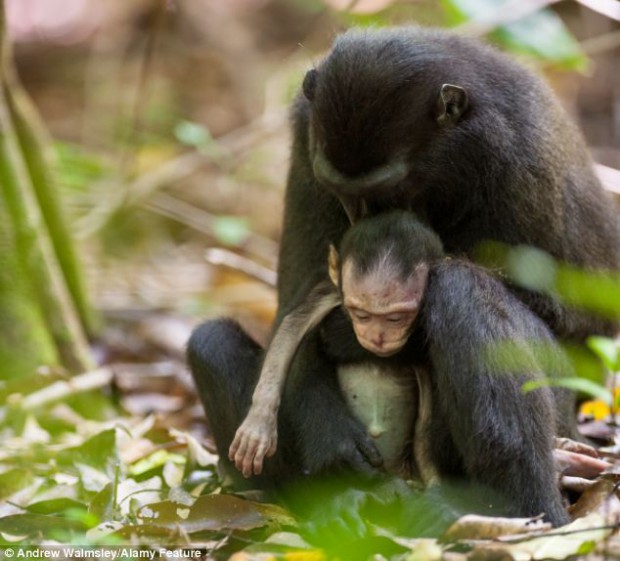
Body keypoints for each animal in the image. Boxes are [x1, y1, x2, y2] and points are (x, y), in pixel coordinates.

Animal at [229, 210, 440, 476]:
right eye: (361, 315)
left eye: (396, 318)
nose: (378, 337)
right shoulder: (329, 295)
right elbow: (291, 329)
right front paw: (259, 422)